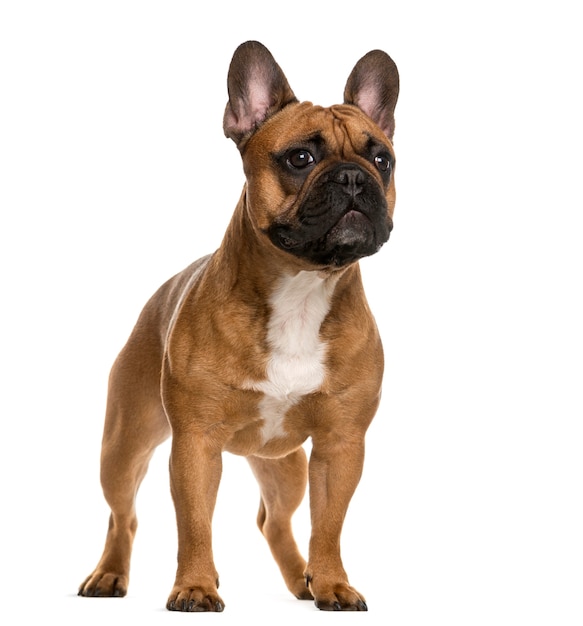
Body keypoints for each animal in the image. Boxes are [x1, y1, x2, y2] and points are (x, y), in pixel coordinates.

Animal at [78, 39, 396, 608]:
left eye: (382, 159)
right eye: (300, 158)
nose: (355, 176)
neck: (302, 290)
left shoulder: (340, 446)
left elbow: (329, 525)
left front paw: (332, 583)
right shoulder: (195, 444)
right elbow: (194, 524)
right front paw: (195, 586)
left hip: (286, 465)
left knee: (275, 519)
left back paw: (303, 579)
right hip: (124, 443)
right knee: (123, 514)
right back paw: (109, 574)